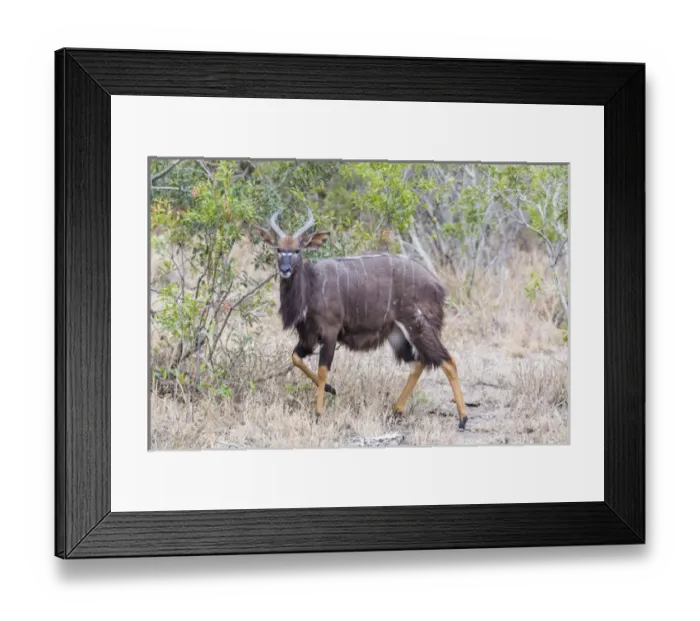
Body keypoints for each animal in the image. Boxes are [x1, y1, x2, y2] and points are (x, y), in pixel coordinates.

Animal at [253, 207, 468, 430]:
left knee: (447, 361)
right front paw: (331, 389)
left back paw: (463, 419)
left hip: (418, 326)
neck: (312, 285)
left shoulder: (330, 331)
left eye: (297, 250)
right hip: (397, 334)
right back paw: (396, 410)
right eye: (278, 249)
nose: (285, 270)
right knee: (418, 363)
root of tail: (438, 286)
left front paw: (319, 413)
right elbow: (295, 358)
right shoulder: (308, 336)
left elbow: (322, 370)